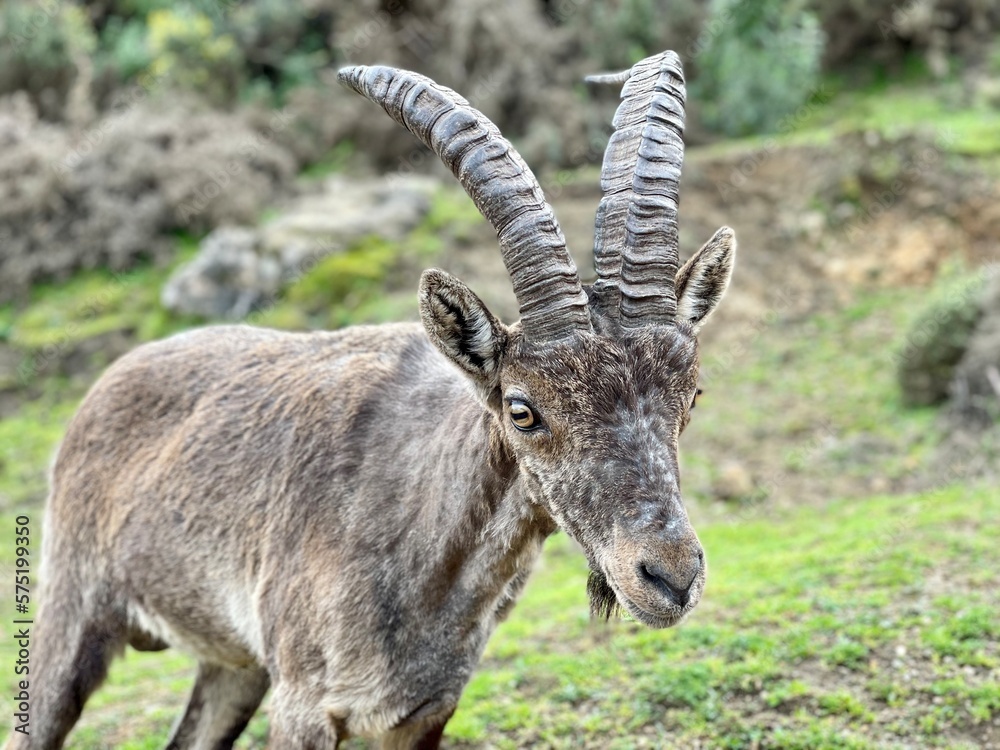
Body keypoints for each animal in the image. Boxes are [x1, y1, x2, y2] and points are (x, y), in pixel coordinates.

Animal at [13, 51, 736, 750]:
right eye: (522, 409)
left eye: (692, 394)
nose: (671, 579)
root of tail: (102, 389)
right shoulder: (305, 704)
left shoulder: (425, 711)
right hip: (70, 614)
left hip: (234, 666)